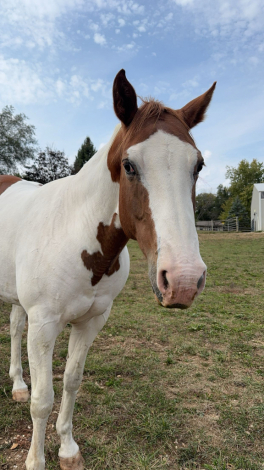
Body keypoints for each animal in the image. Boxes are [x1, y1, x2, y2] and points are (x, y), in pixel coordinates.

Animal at [0, 70, 214, 470]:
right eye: (129, 166)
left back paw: (18, 385)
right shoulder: (44, 325)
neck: (75, 232)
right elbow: (43, 400)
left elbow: (71, 381)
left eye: (198, 165)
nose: (183, 281)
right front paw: (36, 460)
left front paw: (68, 449)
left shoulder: (91, 321)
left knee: (15, 325)